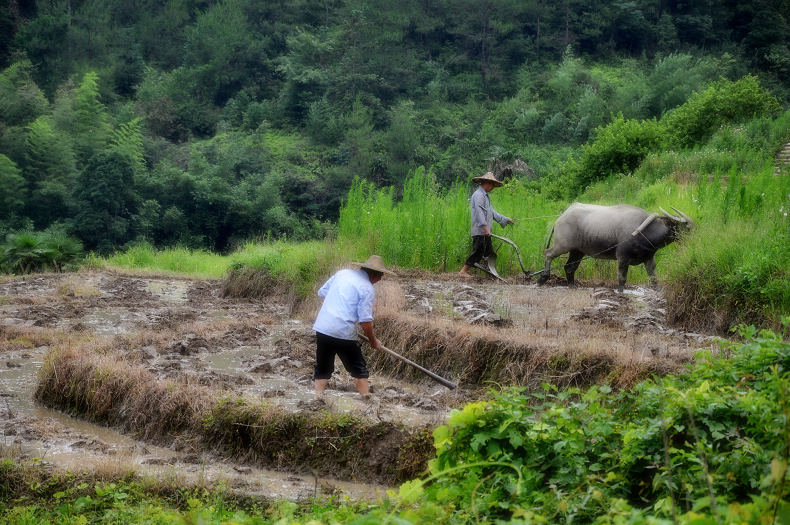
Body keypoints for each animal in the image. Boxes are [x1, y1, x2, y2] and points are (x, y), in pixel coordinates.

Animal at [540, 203, 692, 290]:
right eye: (688, 228)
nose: (695, 239)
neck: (644, 233)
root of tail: (561, 217)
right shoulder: (622, 258)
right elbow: (622, 280)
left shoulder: (649, 259)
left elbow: (654, 279)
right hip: (562, 246)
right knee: (548, 254)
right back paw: (543, 278)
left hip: (577, 251)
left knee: (569, 267)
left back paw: (572, 285)